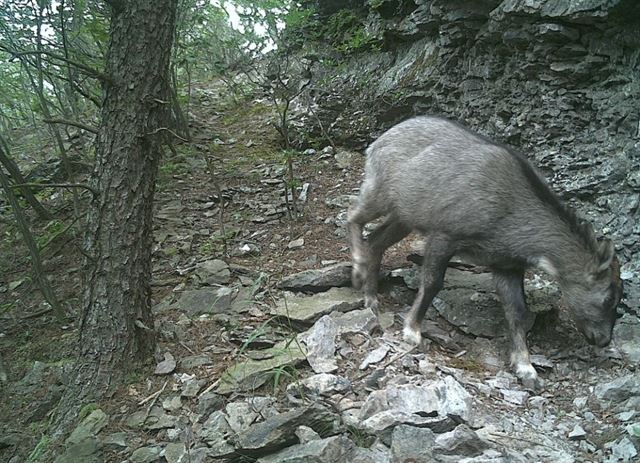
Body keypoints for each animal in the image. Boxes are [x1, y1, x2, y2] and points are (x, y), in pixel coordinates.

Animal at [348, 115, 624, 388]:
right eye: (610, 297)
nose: (604, 339)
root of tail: (378, 142)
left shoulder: (505, 265)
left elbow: (517, 312)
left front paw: (526, 368)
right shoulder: (445, 234)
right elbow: (432, 283)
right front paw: (412, 330)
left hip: (404, 216)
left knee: (375, 240)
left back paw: (371, 298)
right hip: (379, 192)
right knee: (353, 217)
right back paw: (358, 269)